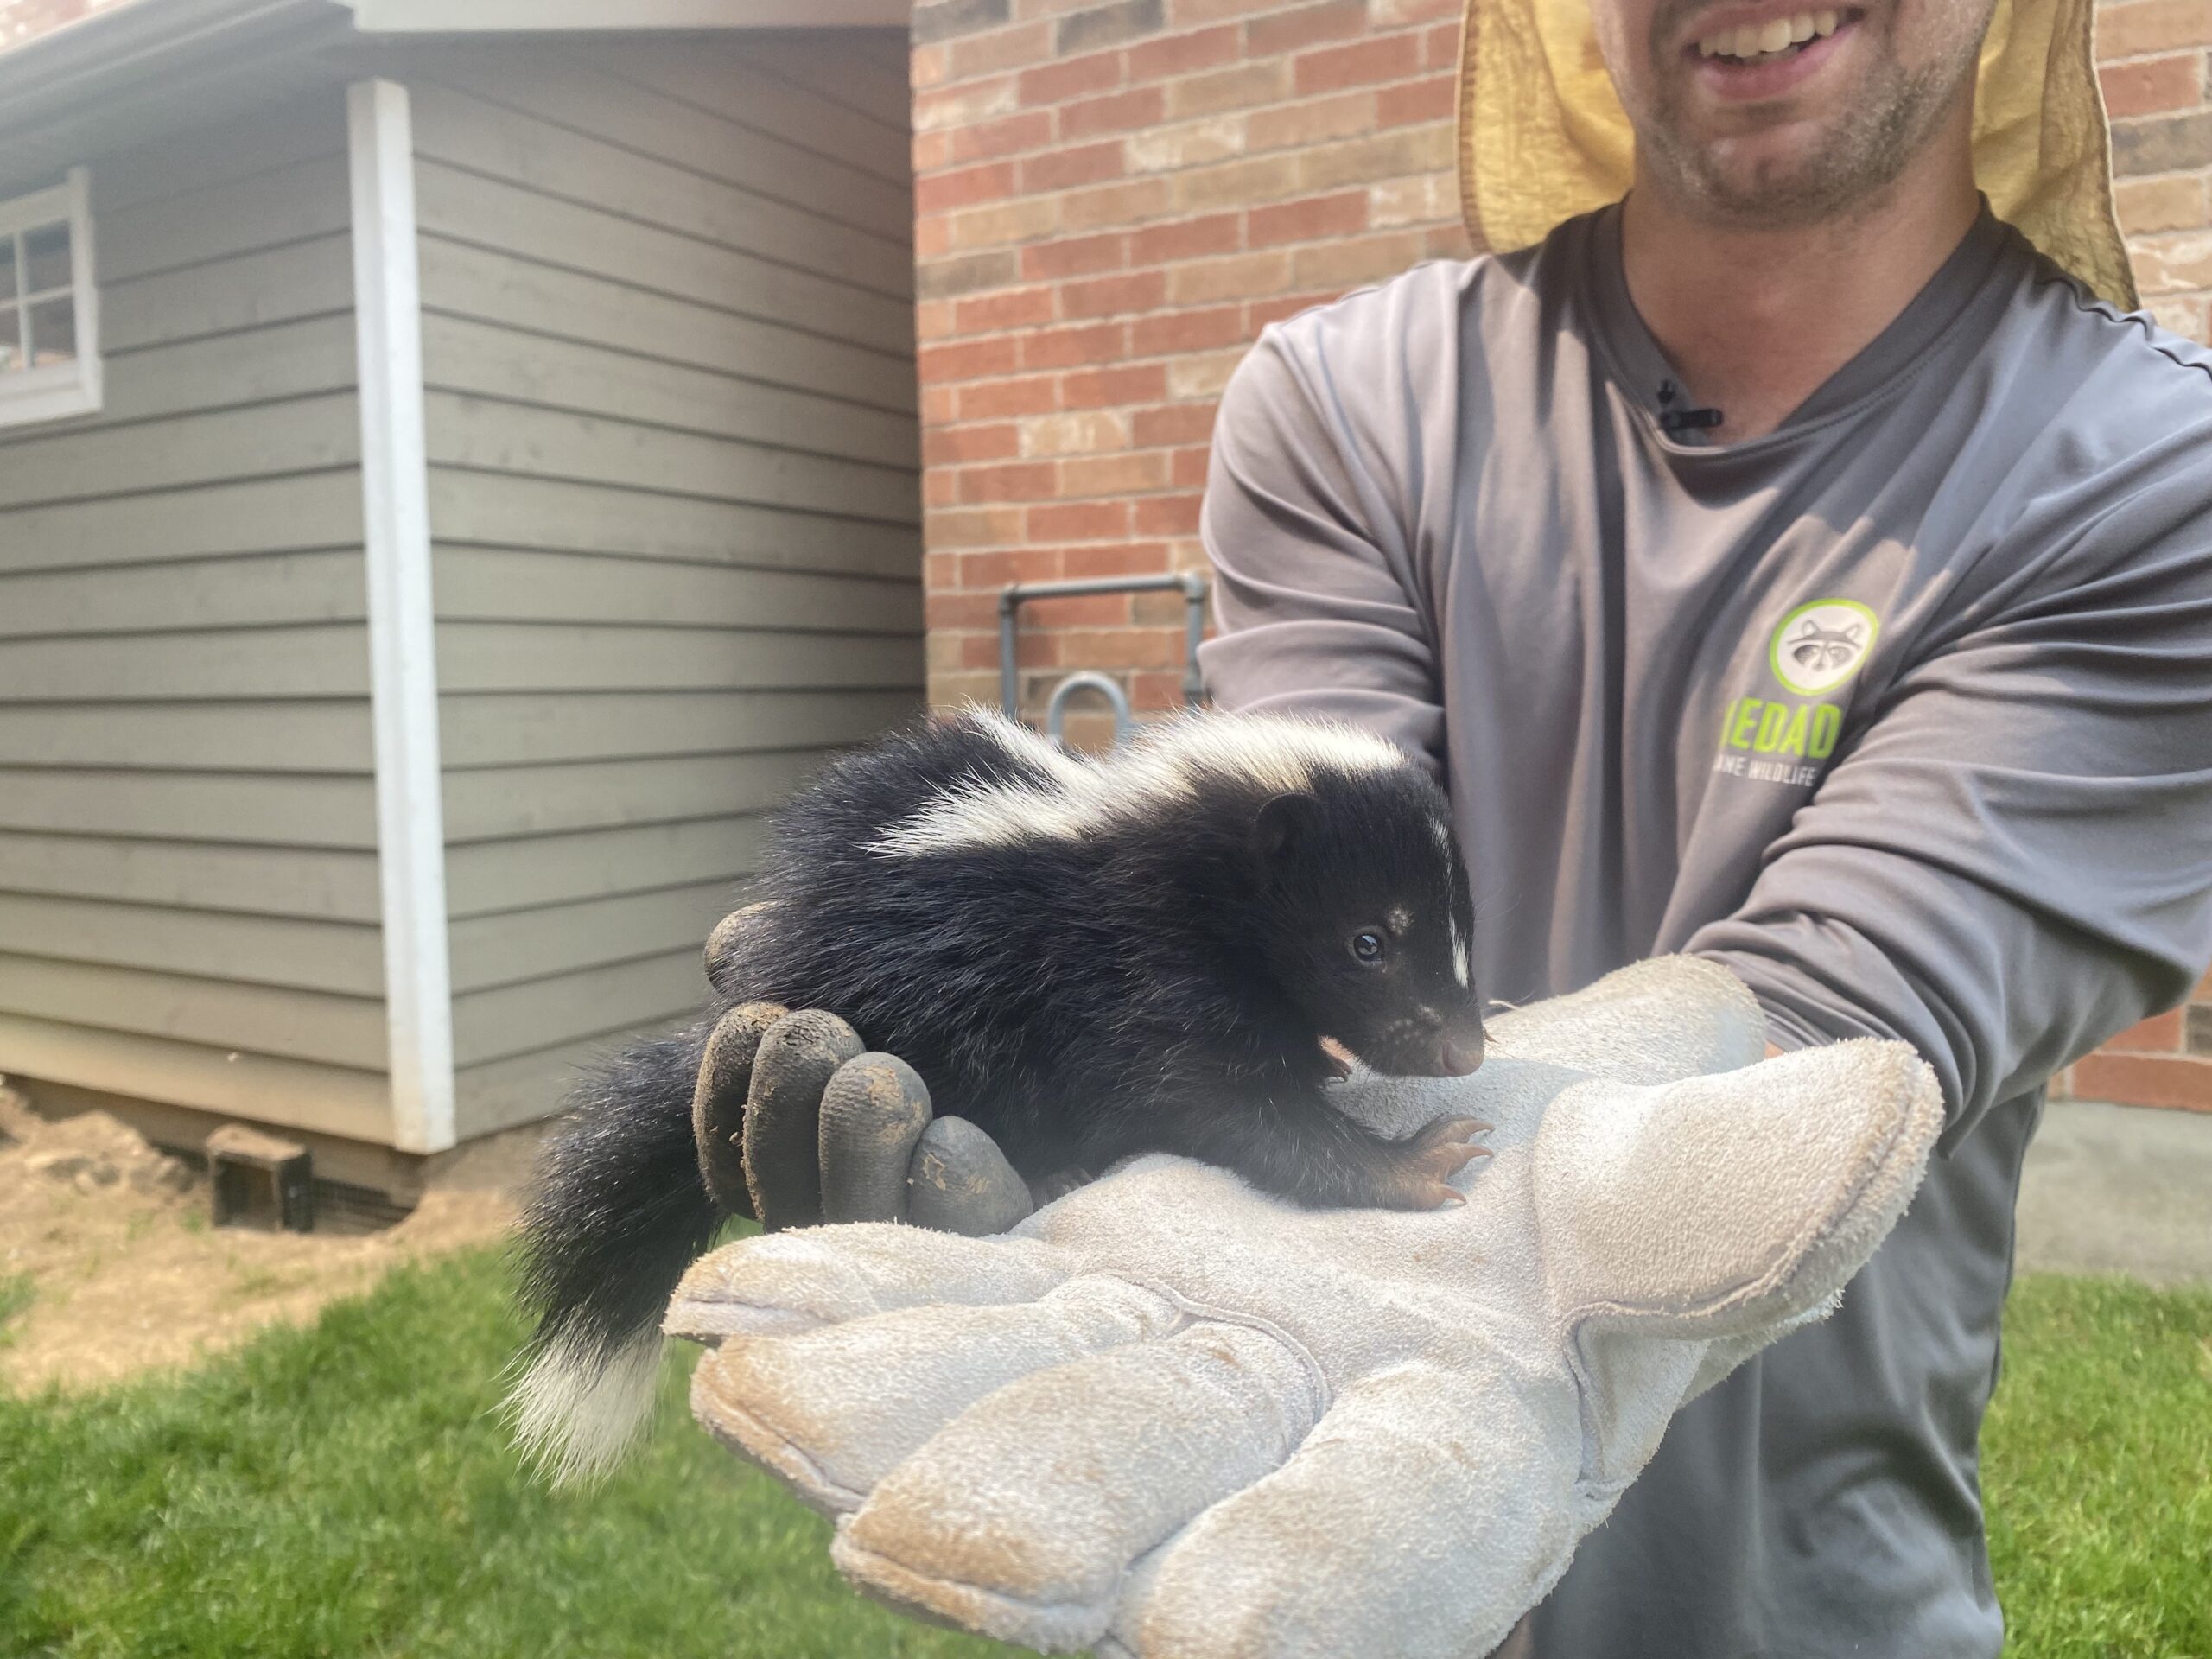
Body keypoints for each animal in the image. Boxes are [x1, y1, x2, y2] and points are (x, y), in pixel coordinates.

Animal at [511, 708, 1486, 1486]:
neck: (1180, 865)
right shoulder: (1135, 971)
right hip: (929, 1002)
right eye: (1367, 941)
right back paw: (1050, 1167)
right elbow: (1228, 1104)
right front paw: (1412, 1163)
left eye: (1460, 933)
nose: (1464, 1045)